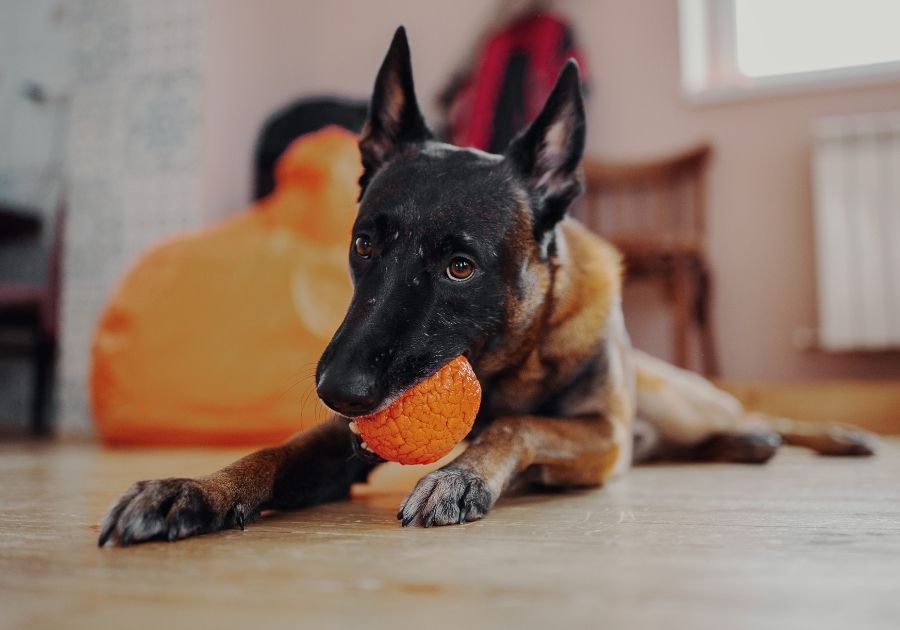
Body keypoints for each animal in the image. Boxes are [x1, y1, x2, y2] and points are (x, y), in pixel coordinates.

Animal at [96, 25, 872, 548]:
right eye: (364, 243)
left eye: (460, 266)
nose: (338, 389)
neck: (506, 361)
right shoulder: (342, 442)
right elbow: (273, 452)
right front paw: (195, 489)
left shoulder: (601, 434)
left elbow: (515, 424)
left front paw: (463, 474)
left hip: (681, 405)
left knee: (753, 411)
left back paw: (826, 434)